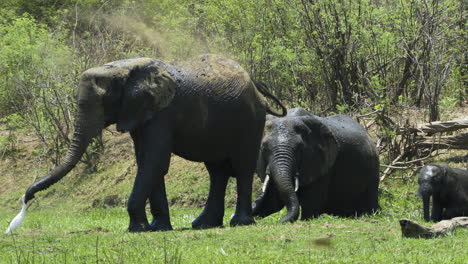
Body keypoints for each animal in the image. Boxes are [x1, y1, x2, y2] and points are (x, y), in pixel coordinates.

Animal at [20, 54, 286, 232]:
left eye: (102, 103)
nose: (26, 199)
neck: (125, 69)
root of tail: (255, 83)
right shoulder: (141, 114)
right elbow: (147, 163)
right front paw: (157, 227)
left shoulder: (160, 113)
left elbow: (154, 162)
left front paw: (137, 229)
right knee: (217, 171)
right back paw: (203, 225)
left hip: (250, 120)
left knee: (241, 167)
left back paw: (239, 223)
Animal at [252, 107, 380, 223]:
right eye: (264, 148)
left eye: (300, 149)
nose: (280, 221)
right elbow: (272, 202)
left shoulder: (323, 164)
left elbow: (311, 203)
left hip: (373, 169)